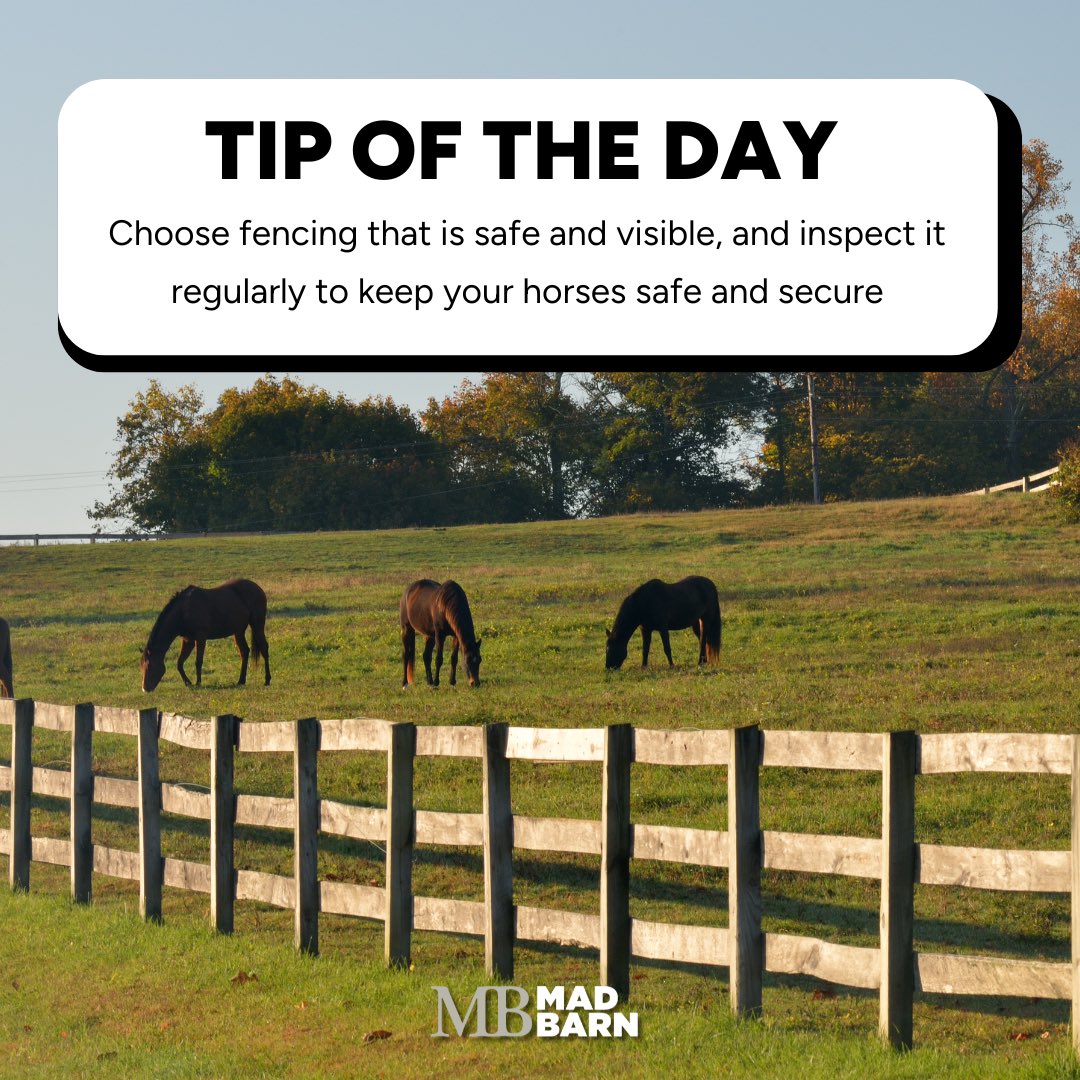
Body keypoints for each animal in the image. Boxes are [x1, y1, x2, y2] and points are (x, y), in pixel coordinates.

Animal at [141, 579, 271, 691]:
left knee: (264, 648)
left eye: (149, 666)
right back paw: (241, 681)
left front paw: (198, 683)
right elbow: (179, 663)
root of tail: (258, 588)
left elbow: (198, 661)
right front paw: (188, 683)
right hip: (238, 631)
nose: (145, 689)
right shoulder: (188, 640)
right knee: (244, 651)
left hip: (257, 624)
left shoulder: (200, 638)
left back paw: (267, 680)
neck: (183, 611)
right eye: (141, 666)